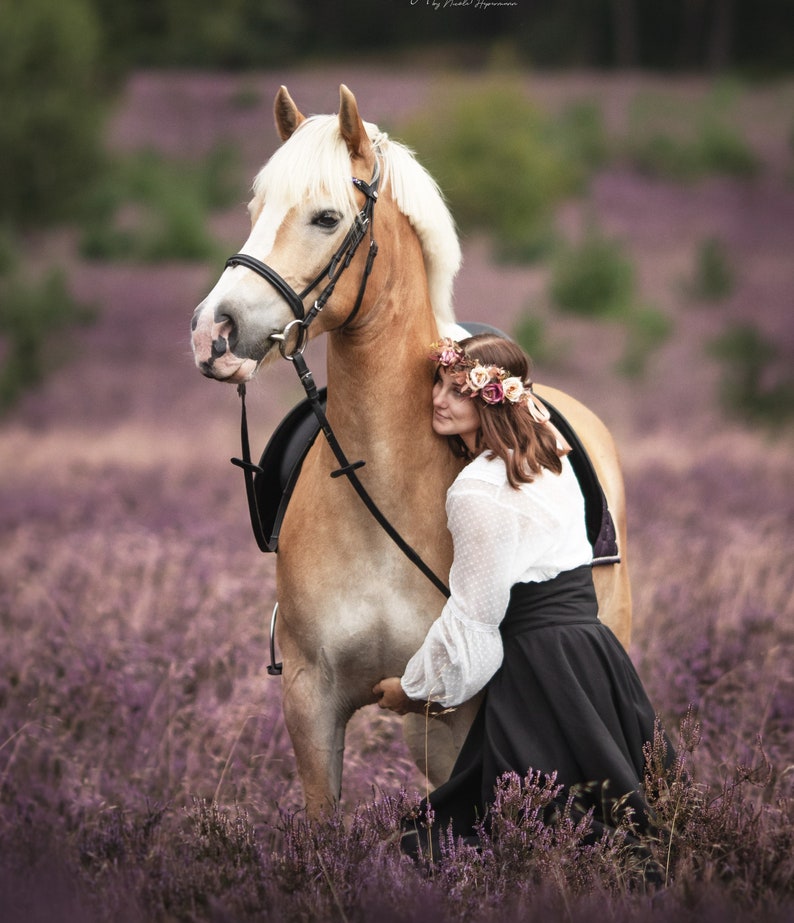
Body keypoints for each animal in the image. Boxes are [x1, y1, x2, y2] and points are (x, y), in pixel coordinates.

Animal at [191, 84, 632, 815]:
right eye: (255, 211)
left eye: (325, 217)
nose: (212, 332)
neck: (384, 482)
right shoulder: (311, 700)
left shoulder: (456, 710)